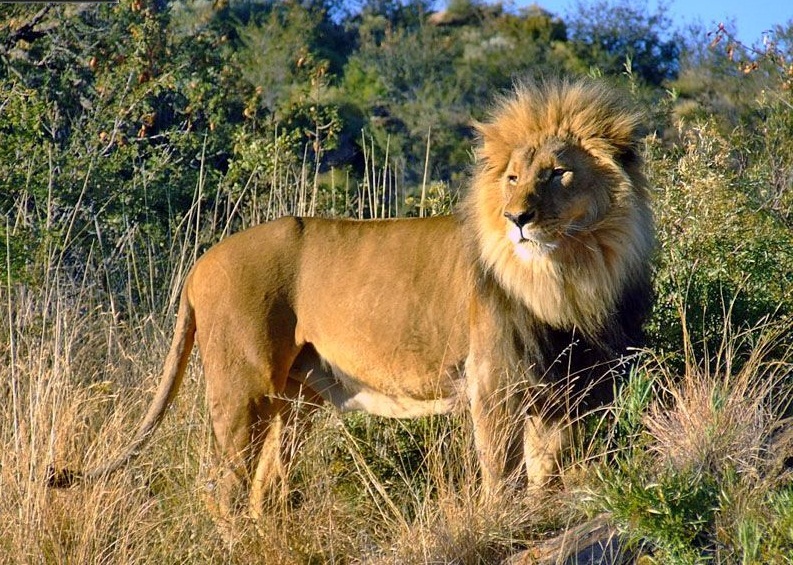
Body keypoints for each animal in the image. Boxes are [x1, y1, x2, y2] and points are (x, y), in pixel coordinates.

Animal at [51, 77, 656, 516]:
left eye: (557, 174)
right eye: (512, 178)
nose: (517, 219)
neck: (571, 273)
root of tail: (199, 264)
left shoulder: (564, 388)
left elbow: (545, 471)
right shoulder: (495, 382)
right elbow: (499, 472)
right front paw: (501, 521)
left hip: (296, 402)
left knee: (264, 488)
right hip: (242, 388)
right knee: (224, 488)